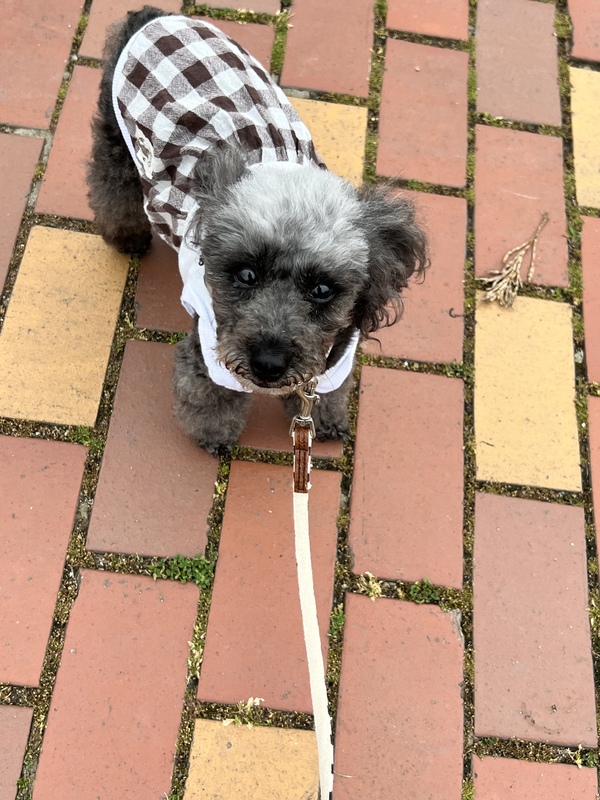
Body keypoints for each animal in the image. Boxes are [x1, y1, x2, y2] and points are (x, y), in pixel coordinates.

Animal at [87, 6, 428, 454]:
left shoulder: (336, 355)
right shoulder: (211, 339)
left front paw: (324, 418)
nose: (268, 365)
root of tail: (151, 16)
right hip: (119, 142)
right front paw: (213, 431)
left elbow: (326, 388)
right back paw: (125, 236)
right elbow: (209, 390)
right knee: (110, 185)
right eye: (245, 274)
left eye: (323, 289)